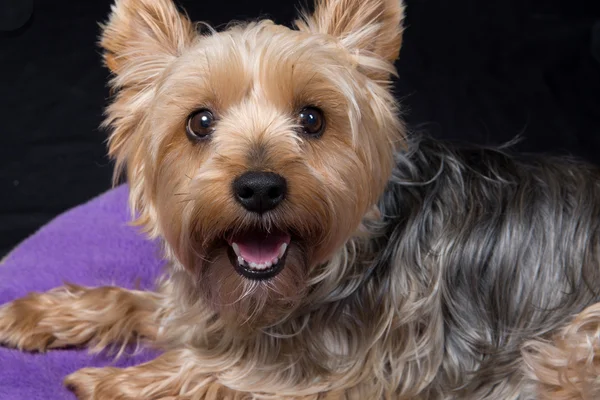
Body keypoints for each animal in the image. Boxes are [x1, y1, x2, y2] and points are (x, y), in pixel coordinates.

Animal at [1, 0, 600, 396]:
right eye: (199, 122)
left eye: (313, 118)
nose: (259, 187)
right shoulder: (210, 307)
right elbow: (137, 302)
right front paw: (36, 314)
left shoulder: (367, 372)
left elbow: (220, 371)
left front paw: (111, 382)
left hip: (572, 345)